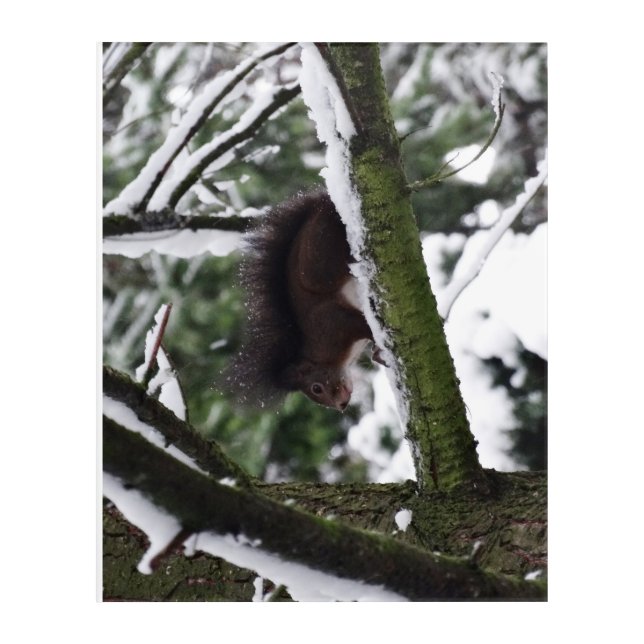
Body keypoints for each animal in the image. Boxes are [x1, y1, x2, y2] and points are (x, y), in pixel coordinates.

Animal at [226, 190, 384, 412]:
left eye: (316, 388)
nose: (342, 405)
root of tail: (320, 204)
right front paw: (376, 354)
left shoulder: (331, 322)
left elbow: (362, 325)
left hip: (323, 256)